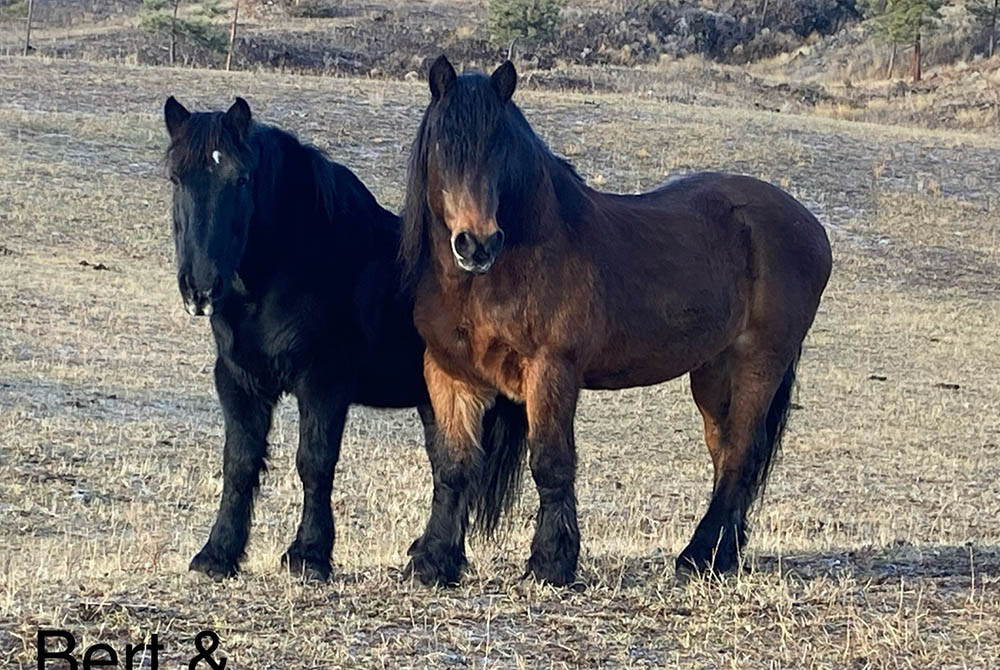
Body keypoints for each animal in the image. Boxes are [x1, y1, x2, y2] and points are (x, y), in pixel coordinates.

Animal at [163, 96, 526, 582]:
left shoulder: (323, 383)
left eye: (239, 179)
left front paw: (309, 555)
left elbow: (314, 462)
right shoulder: (239, 382)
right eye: (176, 178)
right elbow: (239, 463)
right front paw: (217, 554)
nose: (200, 288)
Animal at [400, 56, 833, 586]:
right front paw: (433, 560)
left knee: (742, 454)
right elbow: (454, 465)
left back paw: (699, 557)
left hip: (760, 362)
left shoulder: (552, 370)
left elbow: (551, 462)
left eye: (499, 147)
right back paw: (719, 555)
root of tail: (810, 225)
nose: (477, 243)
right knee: (726, 452)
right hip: (714, 371)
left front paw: (551, 562)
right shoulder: (450, 373)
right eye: (444, 145)